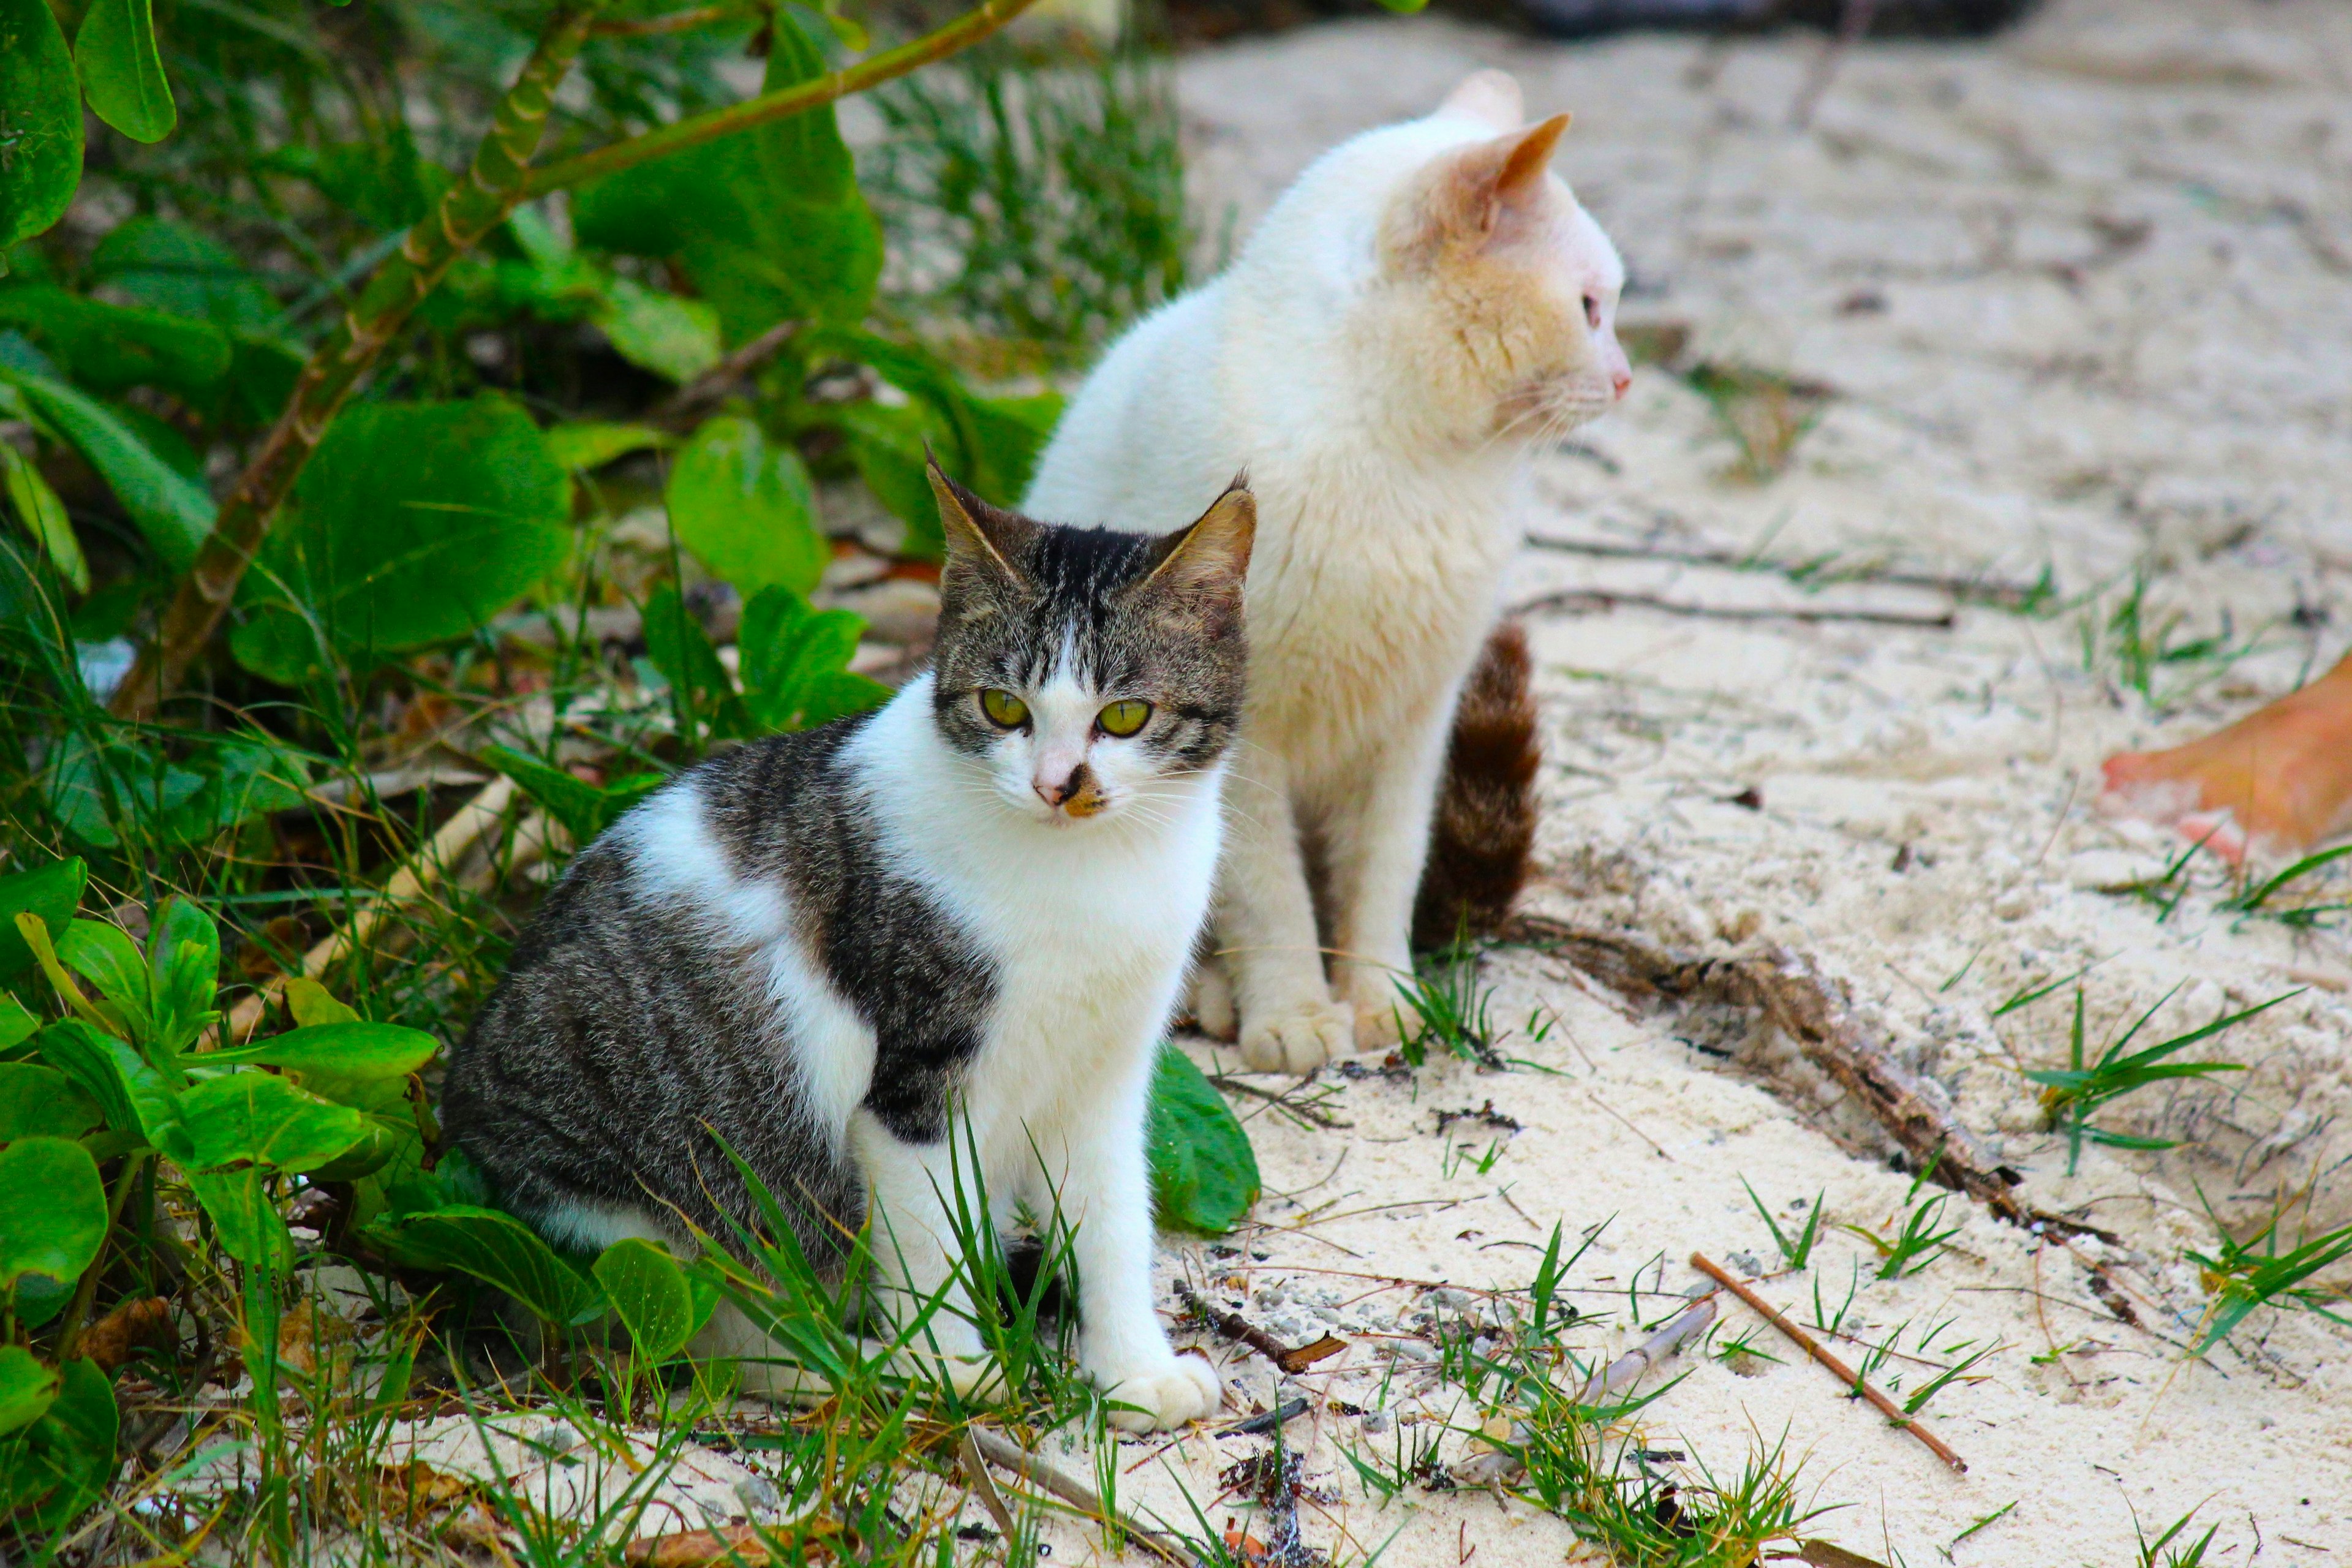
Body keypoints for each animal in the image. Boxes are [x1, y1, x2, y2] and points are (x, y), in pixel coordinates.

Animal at [440, 470, 1251, 1438]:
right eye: (1003, 708)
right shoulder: (910, 1080)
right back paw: (854, 1369)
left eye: (1125, 716)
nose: (1059, 785)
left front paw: (1134, 1372)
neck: (1089, 874)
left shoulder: (1106, 1070)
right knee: (707, 1333)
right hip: (635, 1210)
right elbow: (930, 1237)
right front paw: (951, 1368)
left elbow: (1115, 1216)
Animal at [1030, 73, 1637, 1081]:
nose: (1628, 380)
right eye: (1590, 307)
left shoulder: (1415, 726)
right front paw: (1295, 1013)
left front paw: (1381, 999)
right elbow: (1268, 893)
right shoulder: (1242, 742)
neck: (1402, 457)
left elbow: (1383, 872)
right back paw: (1213, 994)